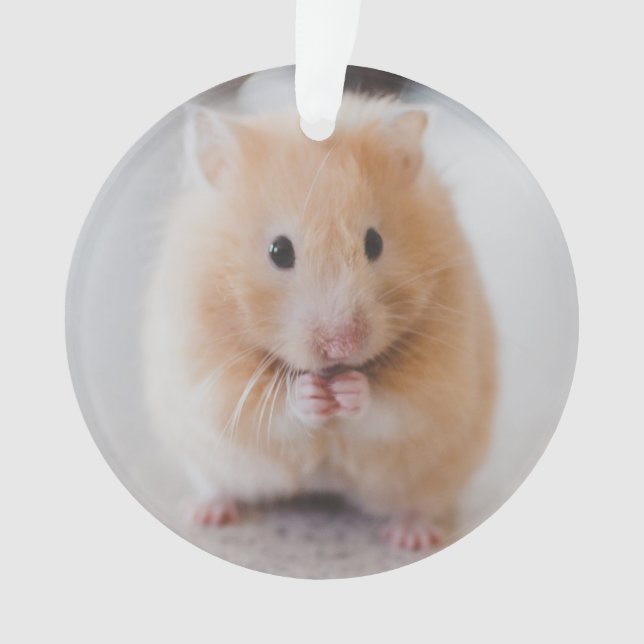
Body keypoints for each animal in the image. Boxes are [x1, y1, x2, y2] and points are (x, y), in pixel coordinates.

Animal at [141, 94, 496, 551]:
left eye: (374, 243)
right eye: (279, 251)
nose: (341, 346)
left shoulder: (441, 378)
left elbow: (395, 406)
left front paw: (349, 390)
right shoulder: (208, 375)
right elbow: (266, 408)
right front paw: (310, 394)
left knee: (420, 503)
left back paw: (411, 537)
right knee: (219, 485)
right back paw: (205, 514)